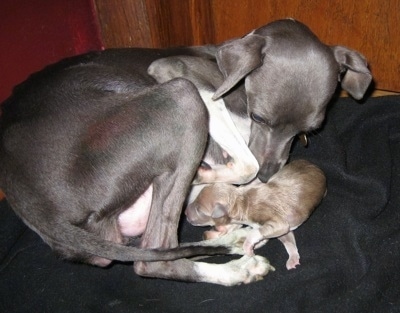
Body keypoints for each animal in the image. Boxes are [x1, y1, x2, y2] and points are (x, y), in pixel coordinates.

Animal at [186, 158, 326, 268]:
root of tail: (315, 166)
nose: (186, 213)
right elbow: (288, 239)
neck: (241, 200)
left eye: (199, 210)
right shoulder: (283, 230)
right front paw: (293, 257)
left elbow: (259, 231)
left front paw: (248, 246)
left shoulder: (274, 220)